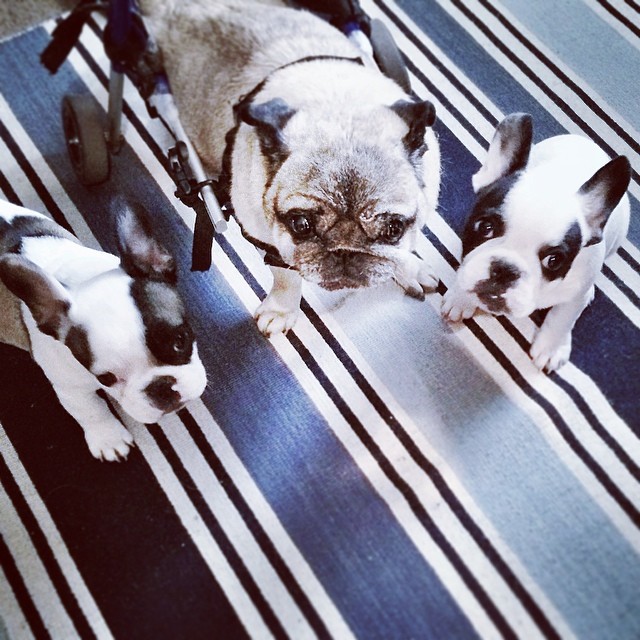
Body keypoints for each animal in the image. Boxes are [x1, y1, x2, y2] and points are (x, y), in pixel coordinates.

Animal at [0, 200, 206, 460]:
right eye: (105, 378)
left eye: (180, 340)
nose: (161, 388)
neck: (78, 275)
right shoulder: (70, 386)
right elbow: (89, 409)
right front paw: (109, 438)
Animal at [140, 0, 440, 338]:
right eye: (301, 225)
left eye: (393, 229)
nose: (344, 249)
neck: (339, 111)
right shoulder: (268, 239)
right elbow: (286, 276)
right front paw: (281, 310)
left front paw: (410, 268)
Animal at [440, 114, 632, 370]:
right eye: (485, 227)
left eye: (554, 260)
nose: (505, 270)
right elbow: (468, 268)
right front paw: (461, 297)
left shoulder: (575, 291)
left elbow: (562, 318)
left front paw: (551, 347)